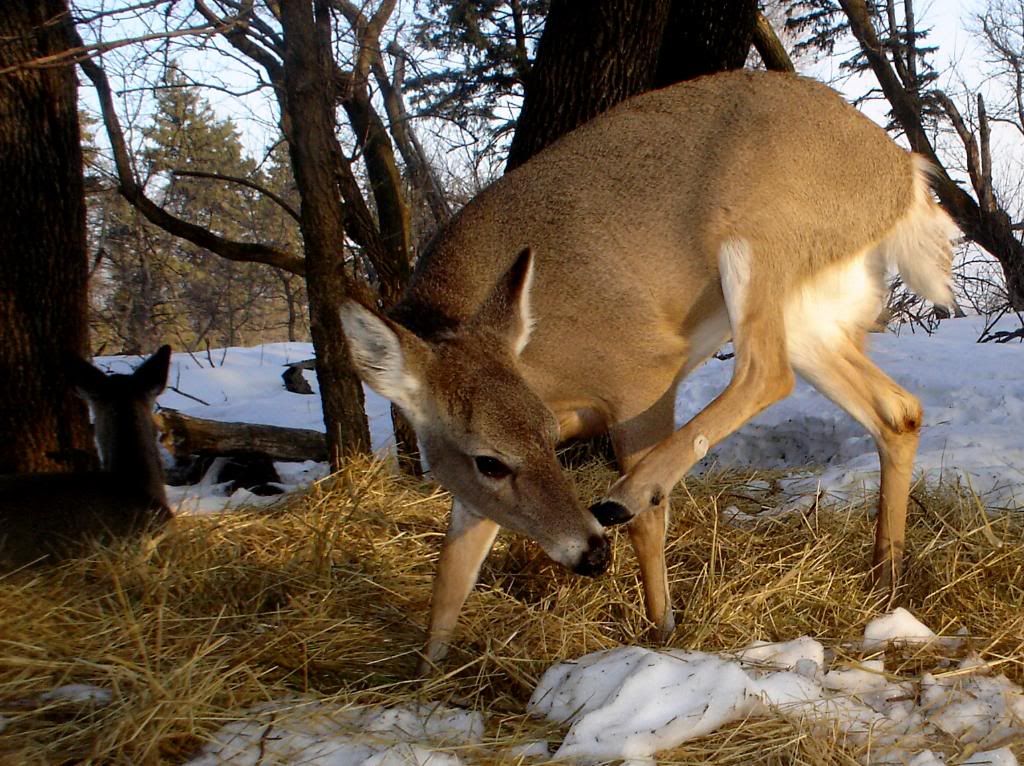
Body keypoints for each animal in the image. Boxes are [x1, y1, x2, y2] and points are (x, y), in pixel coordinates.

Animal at [339, 71, 954, 671]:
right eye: (489, 461)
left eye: (535, 439)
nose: (590, 554)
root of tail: (904, 175)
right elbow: (452, 571)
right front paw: (427, 673)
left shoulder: (641, 370)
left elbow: (648, 523)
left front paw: (662, 631)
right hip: (809, 312)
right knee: (898, 410)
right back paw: (885, 581)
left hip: (758, 243)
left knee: (766, 373)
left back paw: (629, 494)